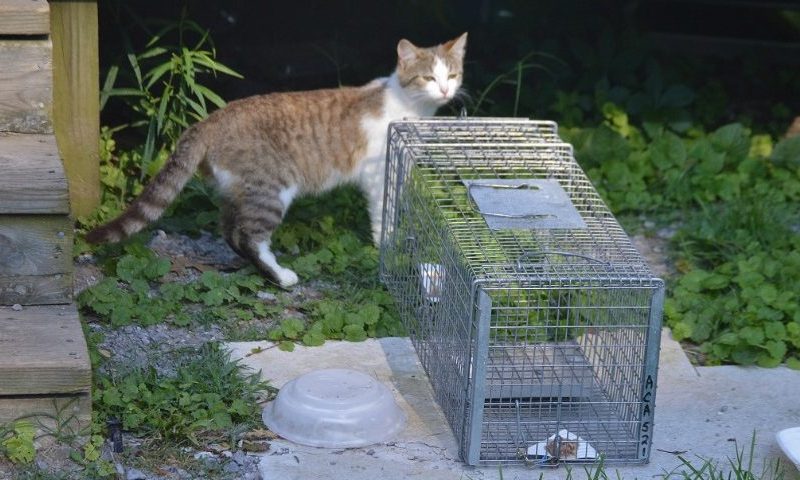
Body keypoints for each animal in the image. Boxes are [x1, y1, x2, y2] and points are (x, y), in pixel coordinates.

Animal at [86, 34, 468, 288]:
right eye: (427, 77)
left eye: (451, 75)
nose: (446, 91)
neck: (409, 107)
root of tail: (210, 120)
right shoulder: (378, 176)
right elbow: (383, 217)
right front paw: (386, 246)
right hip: (271, 190)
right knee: (250, 237)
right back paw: (281, 276)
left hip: (236, 190)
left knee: (229, 232)